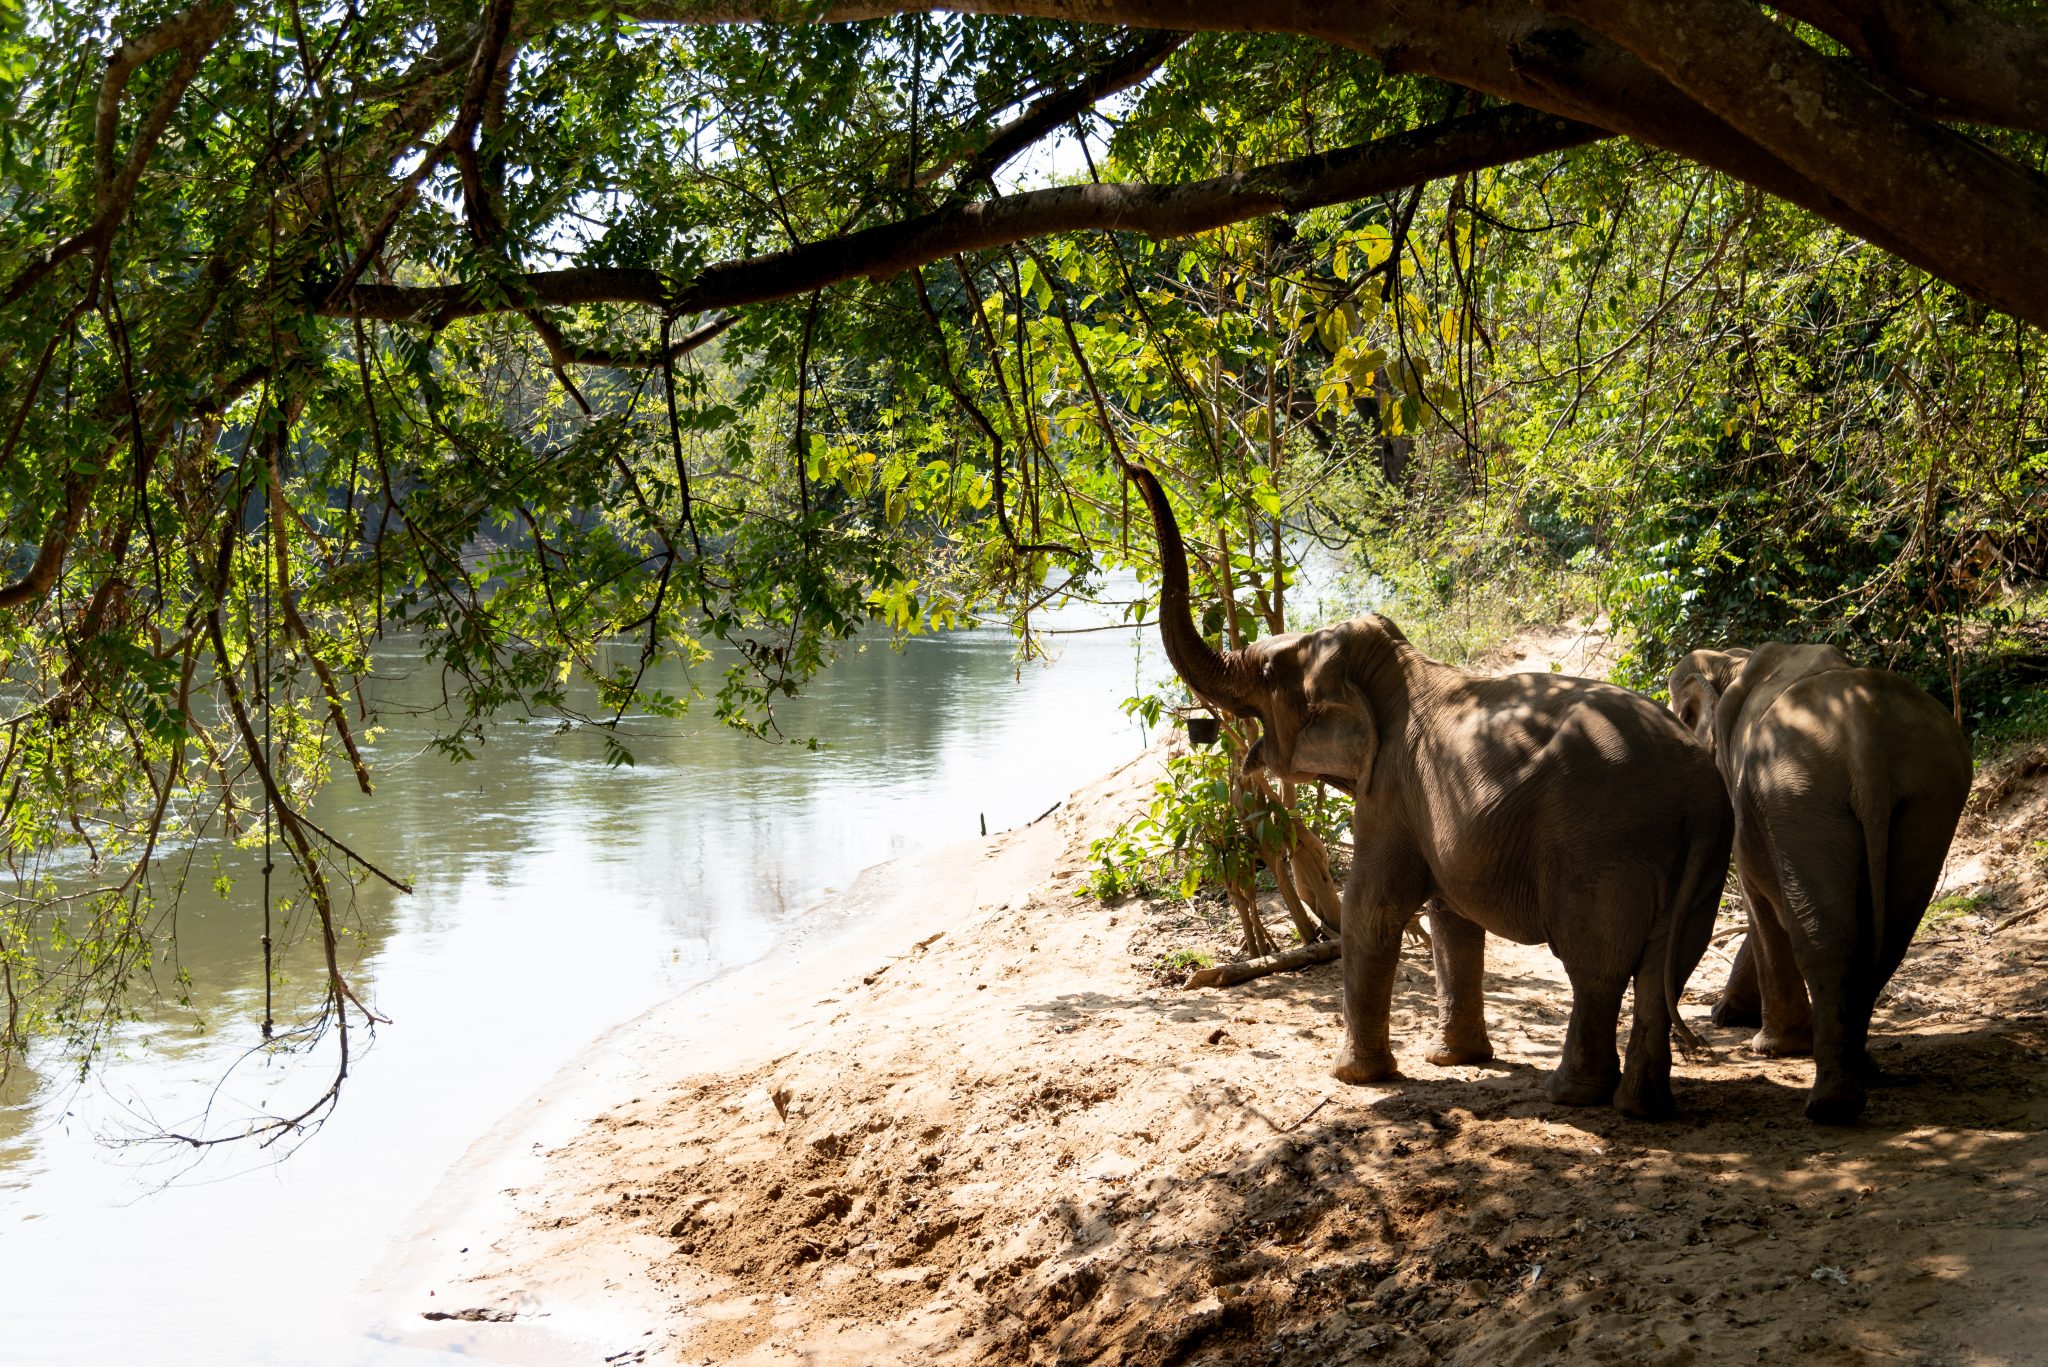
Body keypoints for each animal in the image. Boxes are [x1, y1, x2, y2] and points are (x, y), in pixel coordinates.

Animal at [1127, 465, 1733, 1119]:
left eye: (1265, 675)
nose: (1133, 467)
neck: (1394, 665)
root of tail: (1699, 794)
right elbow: (1451, 917)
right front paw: (1453, 1061)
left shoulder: (1392, 789)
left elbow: (1372, 908)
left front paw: (1355, 1077)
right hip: (1703, 862)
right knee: (1666, 965)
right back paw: (1641, 1106)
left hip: (1603, 852)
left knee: (1595, 966)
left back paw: (1573, 1095)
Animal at [1667, 643, 1973, 1124]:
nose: (1707, 1026)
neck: (1731, 658)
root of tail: (1868, 741)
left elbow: (1759, 899)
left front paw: (1767, 1043)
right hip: (1927, 797)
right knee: (1886, 936)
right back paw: (1857, 1073)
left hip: (1799, 793)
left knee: (1823, 938)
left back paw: (1830, 1104)